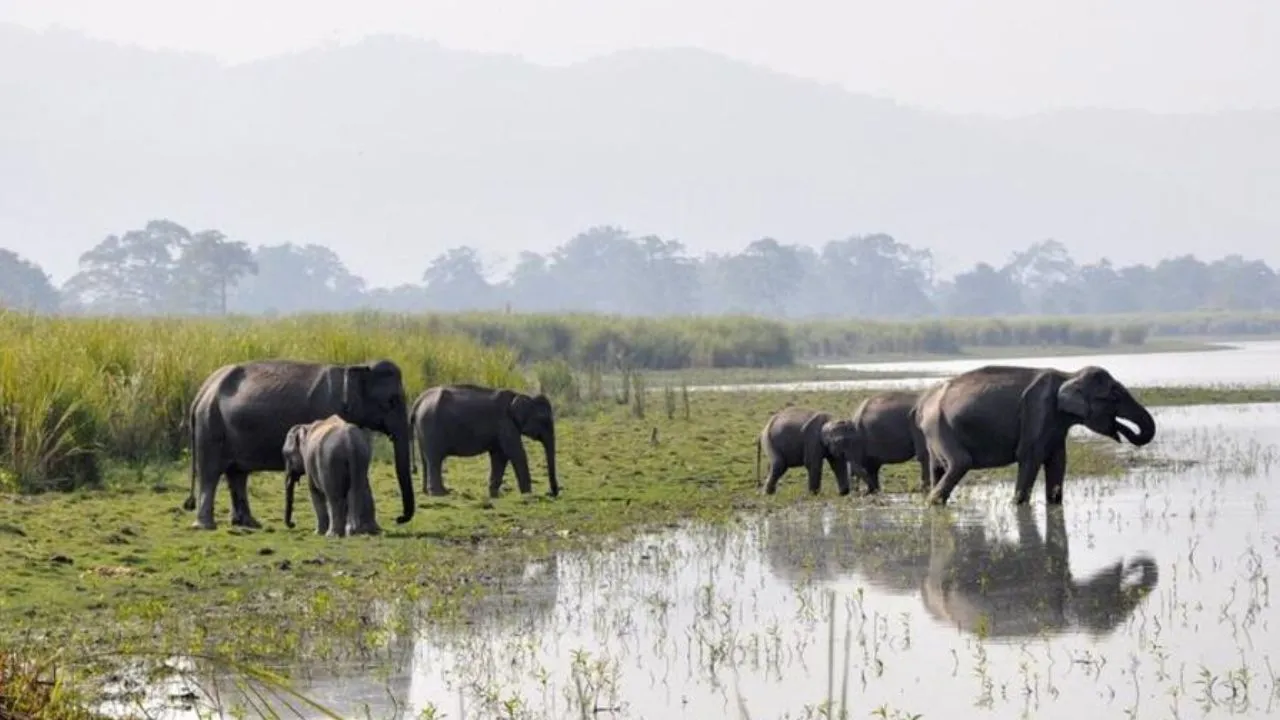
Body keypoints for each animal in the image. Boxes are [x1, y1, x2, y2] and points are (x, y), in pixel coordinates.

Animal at [183, 358, 414, 530]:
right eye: (391, 401)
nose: (399, 518)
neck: (353, 367)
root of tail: (202, 391)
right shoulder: (327, 409)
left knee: (237, 474)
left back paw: (249, 524)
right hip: (210, 426)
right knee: (210, 472)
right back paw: (205, 526)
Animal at [409, 384, 559, 499]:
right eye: (544, 420)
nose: (551, 493)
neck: (520, 396)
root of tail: (419, 400)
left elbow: (499, 456)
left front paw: (494, 495)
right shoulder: (506, 424)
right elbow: (516, 453)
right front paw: (527, 495)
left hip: (423, 429)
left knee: (426, 460)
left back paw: (429, 492)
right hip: (431, 426)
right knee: (435, 459)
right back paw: (441, 494)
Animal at [913, 364, 1156, 506]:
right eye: (1114, 397)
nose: (1123, 431)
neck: (1068, 375)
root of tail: (924, 403)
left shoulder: (1055, 424)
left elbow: (1058, 463)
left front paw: (1054, 503)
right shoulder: (1038, 411)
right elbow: (1030, 458)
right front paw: (1017, 504)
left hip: (935, 432)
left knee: (938, 467)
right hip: (940, 426)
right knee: (961, 462)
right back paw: (933, 502)